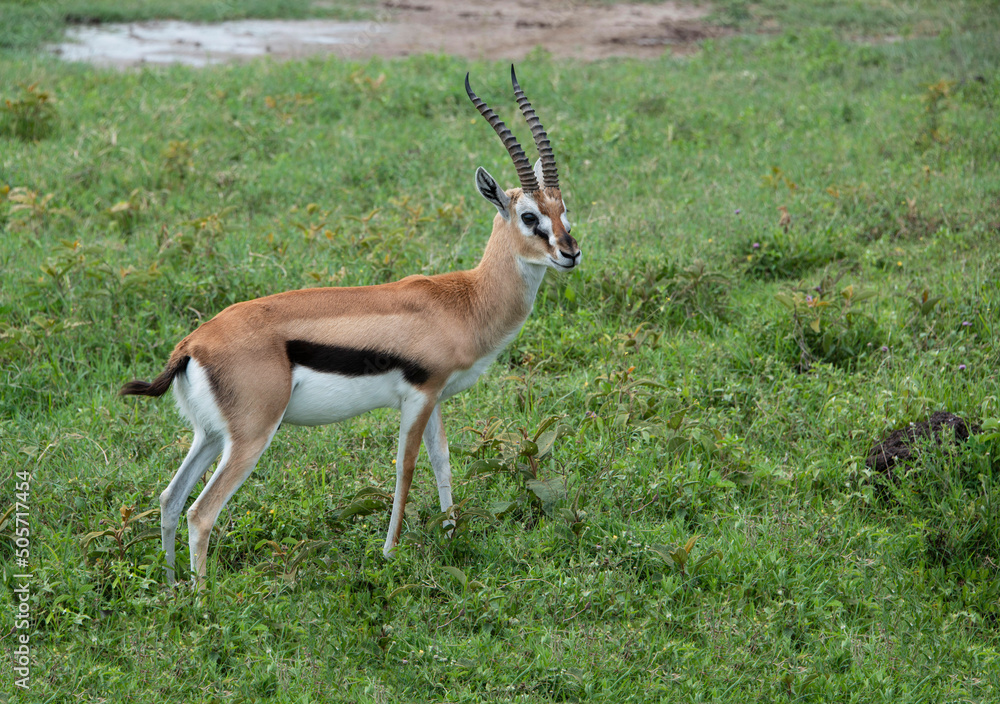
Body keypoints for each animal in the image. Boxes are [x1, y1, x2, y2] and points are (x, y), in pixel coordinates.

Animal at [120, 66, 580, 584]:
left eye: (564, 209)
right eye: (529, 216)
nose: (570, 253)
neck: (462, 301)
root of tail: (193, 344)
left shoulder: (436, 397)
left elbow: (442, 462)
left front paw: (451, 536)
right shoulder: (418, 397)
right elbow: (405, 468)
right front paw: (389, 554)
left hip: (210, 435)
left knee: (169, 499)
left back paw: (173, 587)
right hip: (251, 436)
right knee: (201, 513)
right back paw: (202, 597)